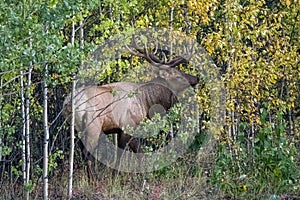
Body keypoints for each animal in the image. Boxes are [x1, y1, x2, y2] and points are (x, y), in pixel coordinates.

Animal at [63, 35, 199, 177]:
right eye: (178, 76)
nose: (196, 78)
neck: (146, 102)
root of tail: (68, 103)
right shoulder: (128, 125)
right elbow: (131, 153)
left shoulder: (119, 129)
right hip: (92, 126)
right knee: (87, 153)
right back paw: (94, 179)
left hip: (76, 128)